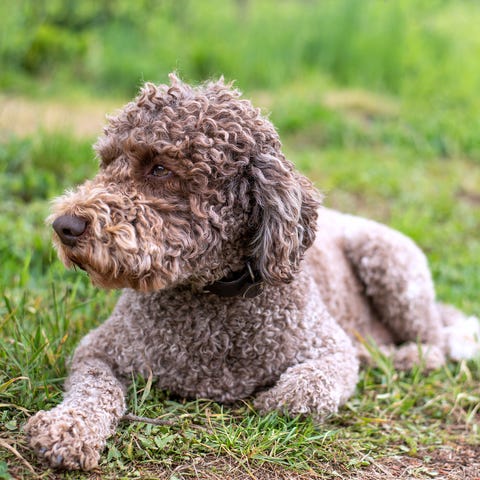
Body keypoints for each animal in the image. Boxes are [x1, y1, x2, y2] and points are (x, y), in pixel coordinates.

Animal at [26, 74, 480, 468]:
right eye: (105, 162)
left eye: (159, 168)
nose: (64, 225)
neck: (212, 295)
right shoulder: (99, 349)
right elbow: (93, 390)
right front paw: (68, 430)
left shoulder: (330, 350)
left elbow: (306, 392)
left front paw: (270, 400)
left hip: (391, 263)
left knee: (434, 345)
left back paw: (399, 356)